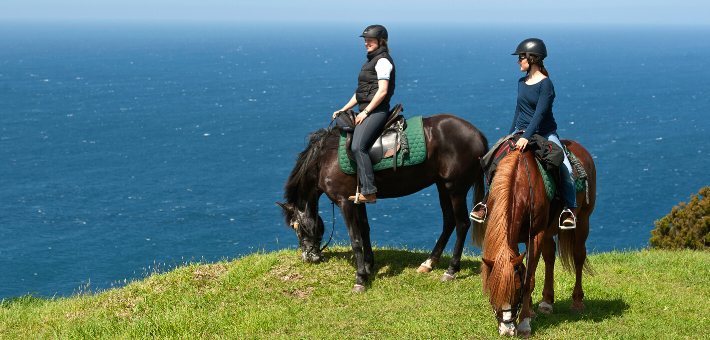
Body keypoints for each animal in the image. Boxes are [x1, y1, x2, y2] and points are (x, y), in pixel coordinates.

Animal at [278, 113, 490, 292]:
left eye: (296, 227)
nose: (308, 257)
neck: (324, 159)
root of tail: (477, 133)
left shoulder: (344, 202)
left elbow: (355, 238)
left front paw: (360, 279)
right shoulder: (357, 199)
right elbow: (364, 230)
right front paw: (368, 265)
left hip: (456, 189)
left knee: (462, 224)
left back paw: (451, 270)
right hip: (442, 186)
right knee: (449, 222)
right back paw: (429, 262)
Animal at [482, 140, 596, 338]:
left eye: (516, 291)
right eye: (492, 293)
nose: (507, 330)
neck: (520, 186)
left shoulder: (535, 235)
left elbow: (529, 279)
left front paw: (524, 323)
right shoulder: (516, 242)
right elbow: (526, 270)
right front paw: (531, 313)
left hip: (583, 219)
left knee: (578, 256)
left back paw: (577, 304)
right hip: (549, 230)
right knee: (550, 256)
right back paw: (546, 302)